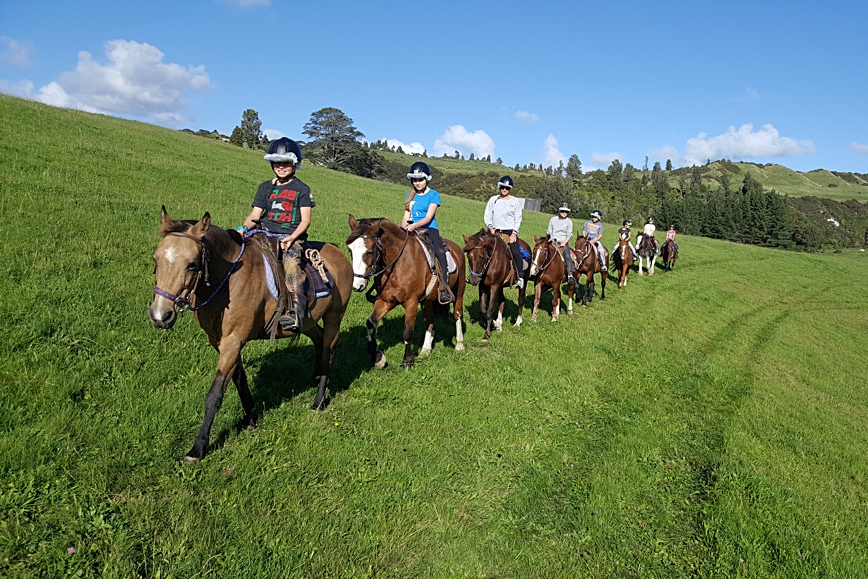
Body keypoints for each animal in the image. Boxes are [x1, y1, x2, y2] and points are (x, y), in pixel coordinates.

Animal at [149, 207, 353, 463]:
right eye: (155, 259)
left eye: (192, 264)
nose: (160, 315)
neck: (228, 280)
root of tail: (339, 253)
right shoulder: (220, 341)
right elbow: (239, 378)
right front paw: (250, 418)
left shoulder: (232, 341)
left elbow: (214, 395)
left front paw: (198, 448)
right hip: (308, 321)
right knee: (319, 340)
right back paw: (316, 378)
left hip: (335, 315)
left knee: (328, 351)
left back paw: (318, 400)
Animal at [346, 216, 466, 369]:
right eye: (350, 251)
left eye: (370, 252)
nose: (357, 285)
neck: (398, 263)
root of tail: (457, 248)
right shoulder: (386, 300)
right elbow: (371, 323)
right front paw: (378, 358)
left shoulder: (411, 302)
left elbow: (408, 332)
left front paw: (407, 361)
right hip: (427, 300)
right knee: (430, 320)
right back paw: (425, 349)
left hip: (459, 291)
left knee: (457, 314)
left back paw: (459, 344)